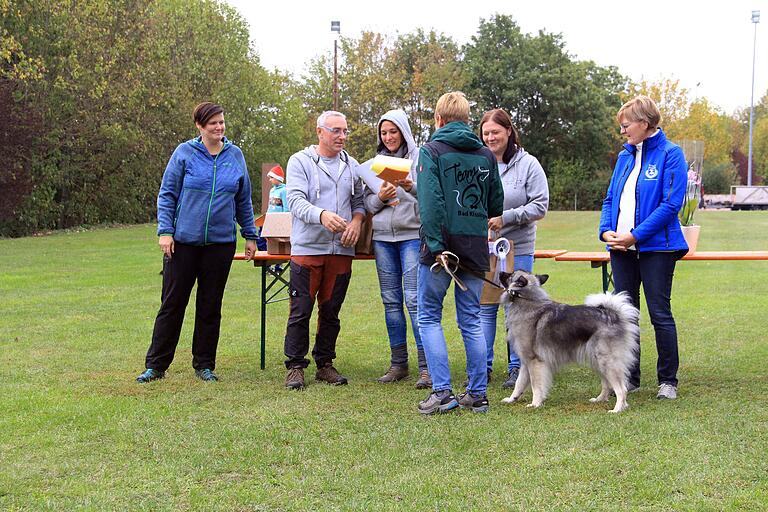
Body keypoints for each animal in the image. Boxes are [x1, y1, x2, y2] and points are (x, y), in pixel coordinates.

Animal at [496, 270, 640, 414]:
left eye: (510, 275)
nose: (500, 272)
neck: (527, 299)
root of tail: (613, 315)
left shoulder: (534, 361)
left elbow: (536, 386)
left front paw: (535, 403)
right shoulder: (526, 362)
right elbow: (519, 383)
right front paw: (512, 399)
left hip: (607, 362)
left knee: (621, 389)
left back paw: (617, 409)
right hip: (597, 361)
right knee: (607, 385)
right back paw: (600, 399)